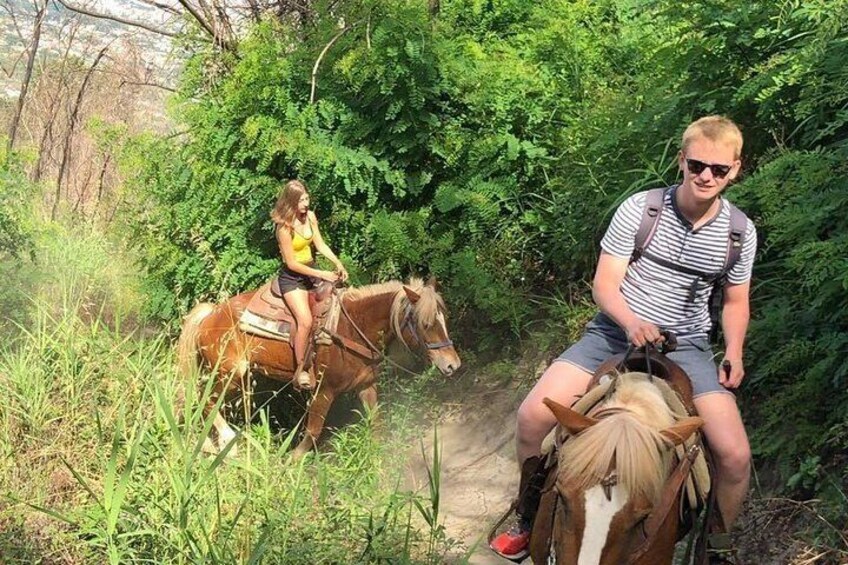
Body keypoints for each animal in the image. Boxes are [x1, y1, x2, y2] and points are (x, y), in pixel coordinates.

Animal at [175, 278, 460, 458]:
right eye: (425, 324)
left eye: (445, 318)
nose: (453, 365)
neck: (351, 328)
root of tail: (211, 314)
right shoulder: (324, 391)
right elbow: (313, 432)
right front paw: (290, 461)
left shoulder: (366, 386)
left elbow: (375, 423)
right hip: (230, 373)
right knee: (206, 401)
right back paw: (226, 443)